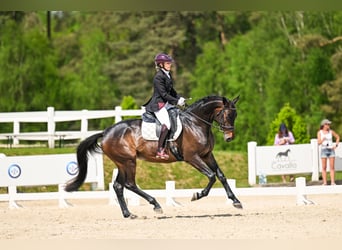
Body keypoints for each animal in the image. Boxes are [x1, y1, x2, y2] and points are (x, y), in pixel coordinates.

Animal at [65, 94, 242, 218]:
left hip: (122, 163)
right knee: (130, 184)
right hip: (128, 161)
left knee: (118, 186)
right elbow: (211, 176)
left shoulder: (207, 155)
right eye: (226, 115)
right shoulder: (192, 157)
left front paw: (236, 201)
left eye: (235, 115)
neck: (196, 124)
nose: (229, 138)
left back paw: (129, 214)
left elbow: (221, 175)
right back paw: (155, 205)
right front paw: (197, 195)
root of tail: (106, 132)